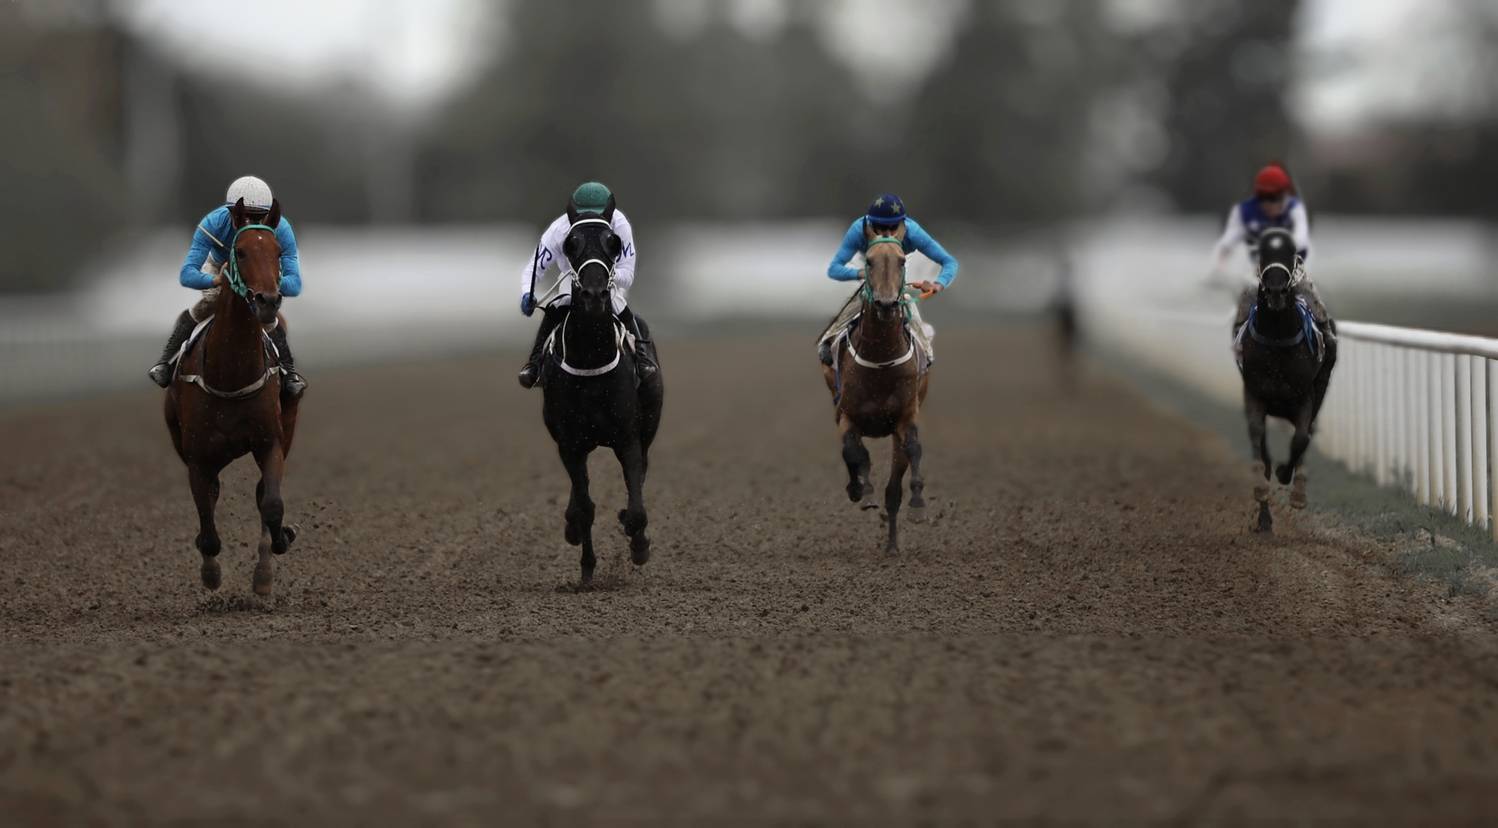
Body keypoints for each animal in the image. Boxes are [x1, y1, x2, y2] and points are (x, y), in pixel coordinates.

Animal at [164, 198, 300, 595]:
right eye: (239, 251)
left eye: (278, 251)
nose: (268, 301)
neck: (230, 374)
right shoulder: (197, 457)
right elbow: (208, 525)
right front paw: (210, 572)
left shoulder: (271, 442)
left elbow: (271, 504)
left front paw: (275, 552)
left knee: (260, 494)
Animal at [538, 202, 665, 587]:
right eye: (570, 243)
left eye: (614, 242)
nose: (594, 295)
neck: (591, 359)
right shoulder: (569, 443)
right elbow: (586, 506)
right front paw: (587, 568)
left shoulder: (628, 438)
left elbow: (636, 506)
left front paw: (638, 544)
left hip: (647, 428)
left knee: (640, 475)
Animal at [821, 222, 930, 553]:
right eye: (868, 262)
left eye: (903, 261)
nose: (885, 304)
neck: (881, 355)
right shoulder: (847, 414)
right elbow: (853, 452)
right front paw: (861, 490)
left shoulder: (906, 417)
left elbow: (914, 449)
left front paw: (918, 505)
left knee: (894, 488)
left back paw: (892, 546)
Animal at [1235, 227, 1336, 533]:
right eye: (1263, 252)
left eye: (1290, 252)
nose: (1276, 290)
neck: (1278, 340)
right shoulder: (1254, 392)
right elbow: (1257, 438)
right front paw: (1261, 491)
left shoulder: (1304, 396)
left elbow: (1301, 438)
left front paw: (1288, 479)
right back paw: (1265, 520)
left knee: (1305, 436)